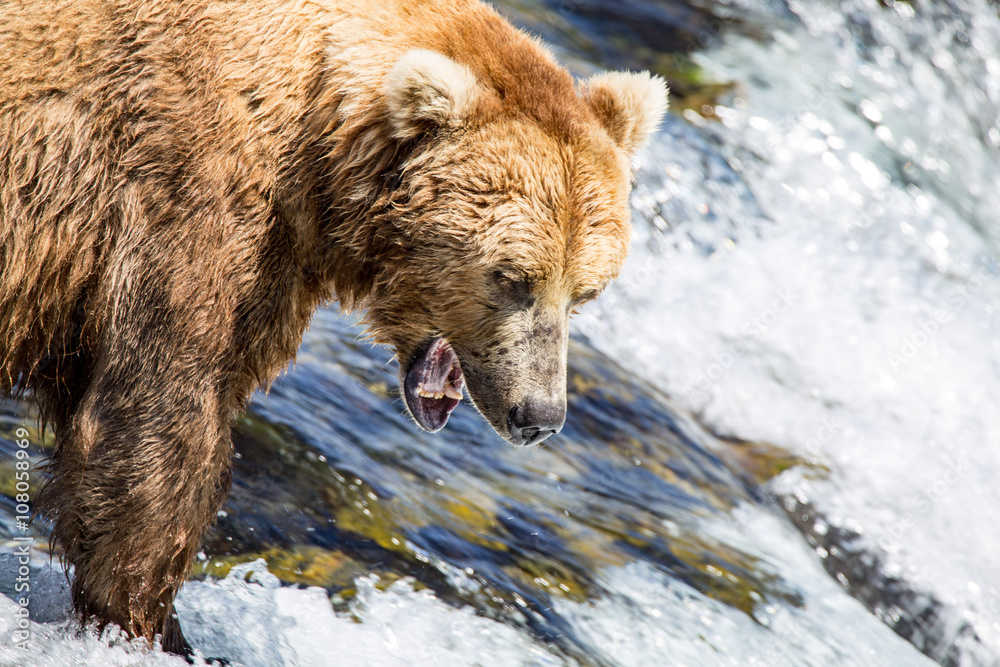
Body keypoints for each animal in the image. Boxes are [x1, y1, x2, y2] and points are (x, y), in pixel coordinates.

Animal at [0, 0, 667, 656]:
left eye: (585, 293)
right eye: (513, 278)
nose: (540, 415)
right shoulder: (186, 198)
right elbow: (157, 427)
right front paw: (143, 623)